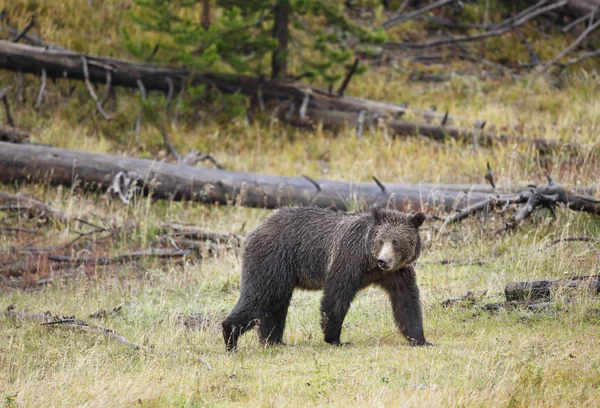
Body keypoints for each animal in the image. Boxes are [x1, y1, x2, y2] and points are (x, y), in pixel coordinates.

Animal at [223, 207, 428, 350]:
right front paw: (335, 338)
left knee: (275, 306)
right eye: (381, 240)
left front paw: (420, 339)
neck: (369, 263)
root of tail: (254, 231)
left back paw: (274, 341)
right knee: (261, 296)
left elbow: (406, 301)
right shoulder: (349, 258)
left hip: (282, 273)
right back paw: (230, 335)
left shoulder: (397, 273)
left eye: (396, 241)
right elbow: (336, 296)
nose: (383, 260)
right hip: (273, 260)